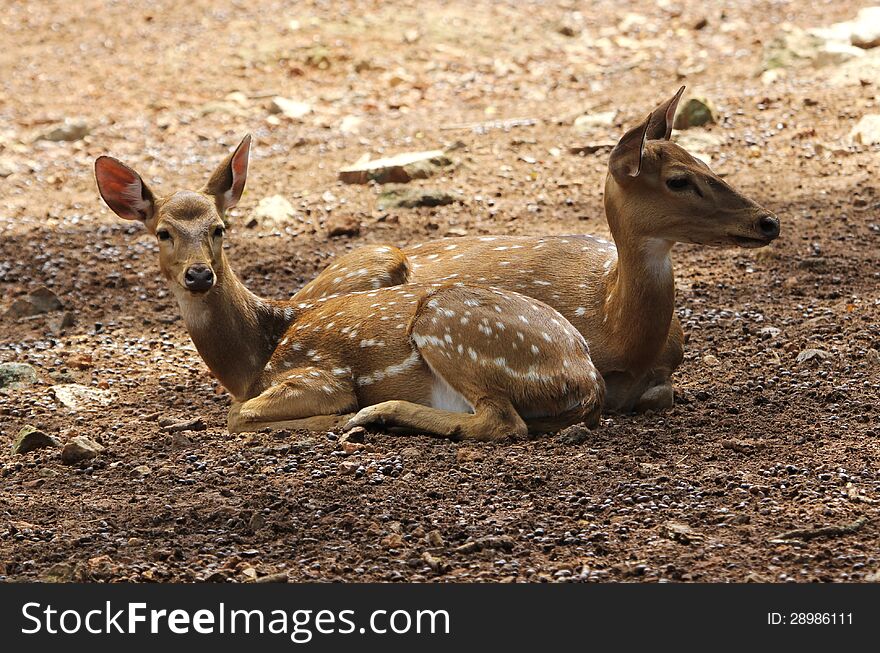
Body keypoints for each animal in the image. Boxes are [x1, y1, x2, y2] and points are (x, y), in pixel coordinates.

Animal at [94, 136, 604, 438]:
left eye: (219, 228)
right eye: (163, 232)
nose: (199, 274)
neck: (251, 361)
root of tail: (585, 376)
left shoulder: (320, 375)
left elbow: (238, 415)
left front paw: (335, 416)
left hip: (448, 325)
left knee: (503, 421)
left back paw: (373, 415)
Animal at [298, 87, 784, 412]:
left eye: (706, 162)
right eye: (679, 180)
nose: (769, 221)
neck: (618, 331)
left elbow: (661, 393)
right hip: (373, 261)